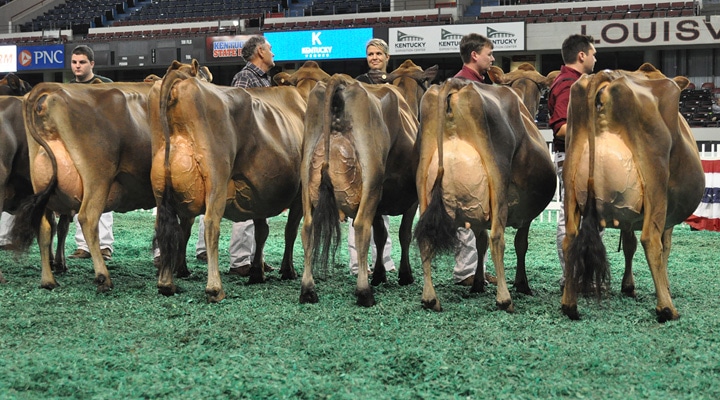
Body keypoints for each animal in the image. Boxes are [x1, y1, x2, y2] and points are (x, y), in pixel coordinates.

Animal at [151, 60, 328, 302]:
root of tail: (182, 79)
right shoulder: (300, 194)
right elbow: (290, 230)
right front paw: (287, 270)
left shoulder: (260, 192)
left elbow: (261, 232)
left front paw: (257, 272)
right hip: (216, 177)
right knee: (210, 225)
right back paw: (214, 288)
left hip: (161, 187)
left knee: (164, 226)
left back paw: (167, 283)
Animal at [298, 73, 419, 307]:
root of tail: (343, 81)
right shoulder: (412, 199)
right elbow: (404, 234)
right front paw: (404, 275)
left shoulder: (380, 203)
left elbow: (381, 235)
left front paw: (380, 275)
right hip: (371, 180)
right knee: (362, 226)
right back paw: (364, 293)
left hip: (307, 175)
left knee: (308, 227)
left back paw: (308, 290)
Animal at [413, 78, 557, 312]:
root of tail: (456, 83)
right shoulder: (526, 215)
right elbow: (520, 244)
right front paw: (522, 284)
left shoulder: (478, 212)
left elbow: (480, 243)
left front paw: (478, 283)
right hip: (498, 180)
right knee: (498, 238)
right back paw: (504, 299)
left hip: (422, 181)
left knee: (425, 237)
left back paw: (430, 298)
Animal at [560, 64, 705, 322]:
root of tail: (611, 76)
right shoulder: (667, 217)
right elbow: (664, 246)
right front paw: (664, 287)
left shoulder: (627, 213)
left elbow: (629, 244)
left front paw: (628, 286)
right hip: (656, 185)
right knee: (651, 241)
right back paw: (667, 308)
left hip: (570, 186)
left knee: (570, 238)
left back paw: (569, 304)